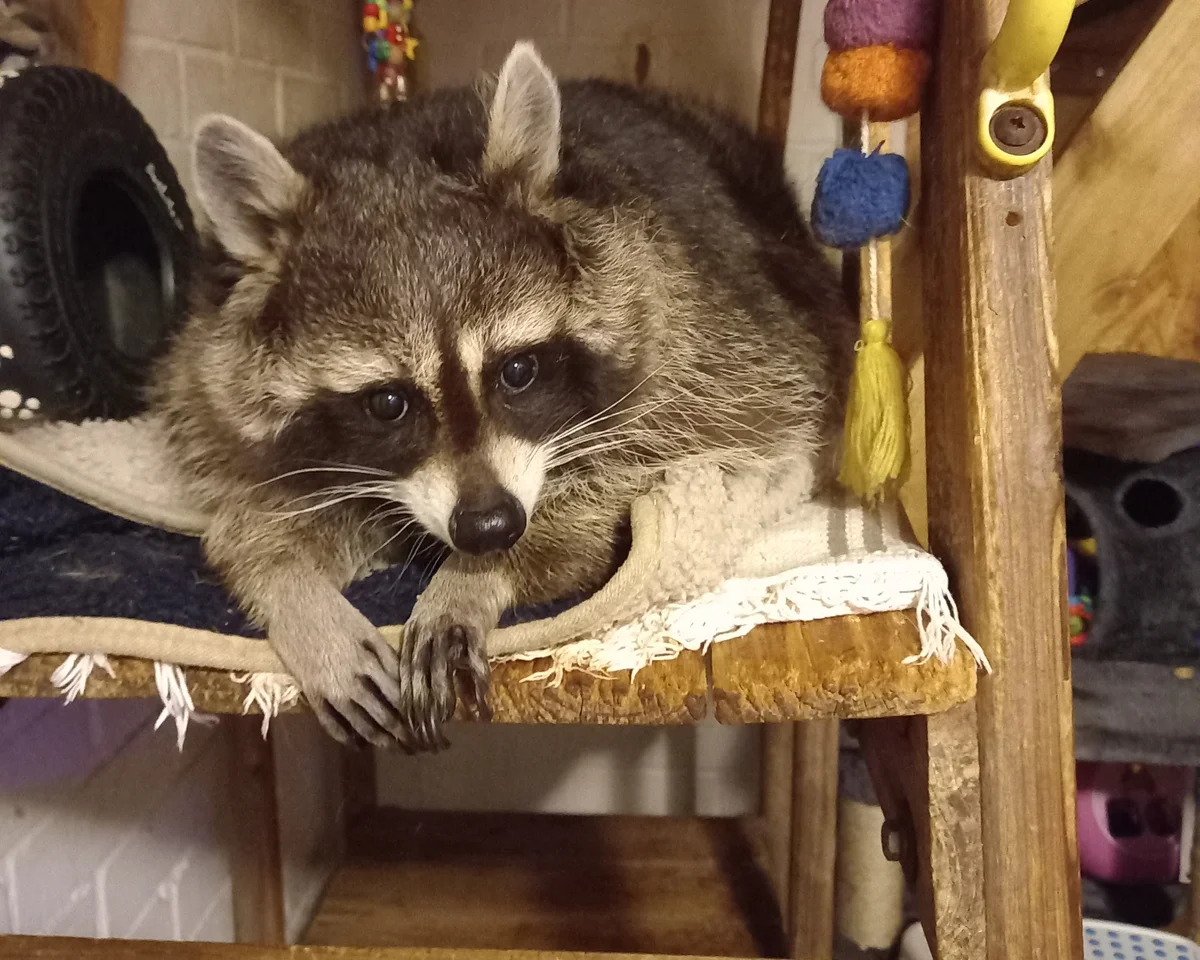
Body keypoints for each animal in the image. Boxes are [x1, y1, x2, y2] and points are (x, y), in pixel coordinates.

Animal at [152, 41, 856, 751]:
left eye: (518, 370)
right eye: (388, 404)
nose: (490, 527)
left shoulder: (698, 336)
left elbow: (666, 457)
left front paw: (476, 579)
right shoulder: (210, 376)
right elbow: (246, 503)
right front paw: (292, 590)